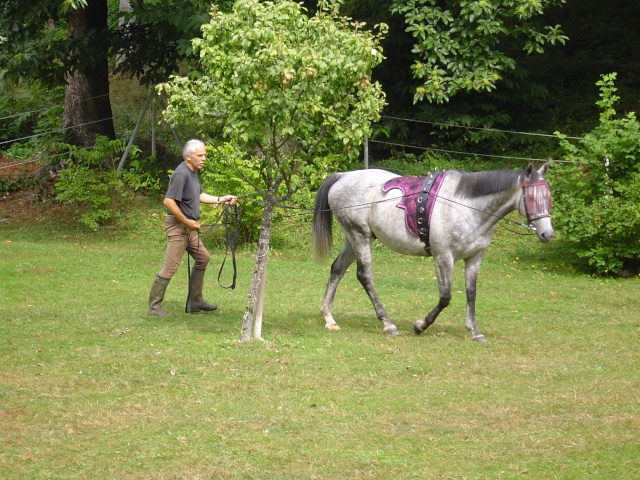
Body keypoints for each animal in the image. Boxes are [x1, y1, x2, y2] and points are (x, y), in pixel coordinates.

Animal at [312, 163, 552, 340]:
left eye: (548, 197)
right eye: (531, 198)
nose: (547, 234)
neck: (465, 207)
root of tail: (343, 177)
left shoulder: (474, 257)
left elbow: (471, 293)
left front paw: (474, 330)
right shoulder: (443, 257)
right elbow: (445, 297)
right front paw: (420, 326)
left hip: (354, 238)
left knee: (337, 269)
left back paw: (329, 318)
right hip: (359, 236)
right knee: (364, 275)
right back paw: (388, 324)